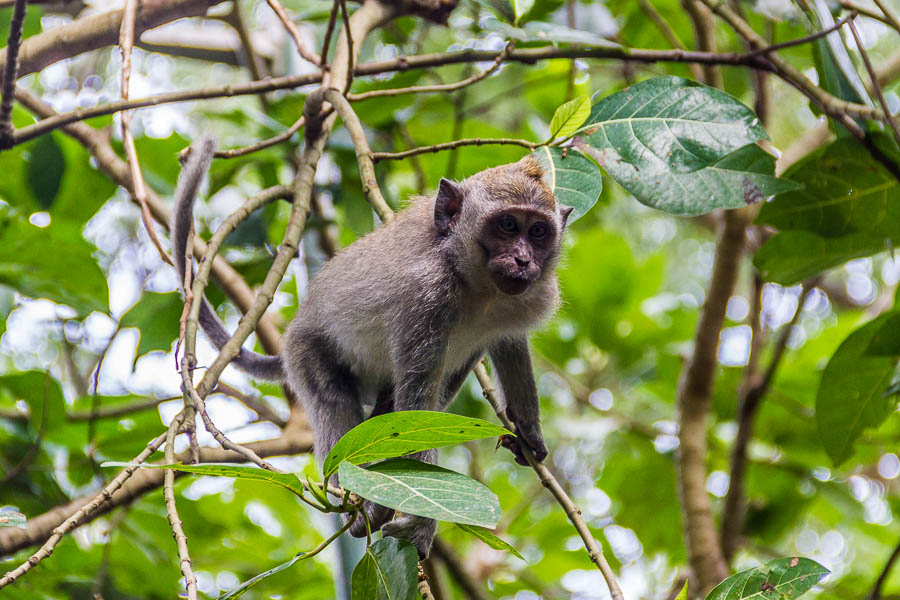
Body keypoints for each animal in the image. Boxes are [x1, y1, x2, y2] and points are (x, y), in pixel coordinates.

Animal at [172, 137, 572, 556]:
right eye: (508, 225)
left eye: (538, 231)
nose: (523, 260)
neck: (476, 285)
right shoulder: (426, 300)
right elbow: (416, 404)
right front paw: (421, 525)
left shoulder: (521, 299)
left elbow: (508, 347)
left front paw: (529, 430)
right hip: (305, 351)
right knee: (333, 398)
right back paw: (353, 498)